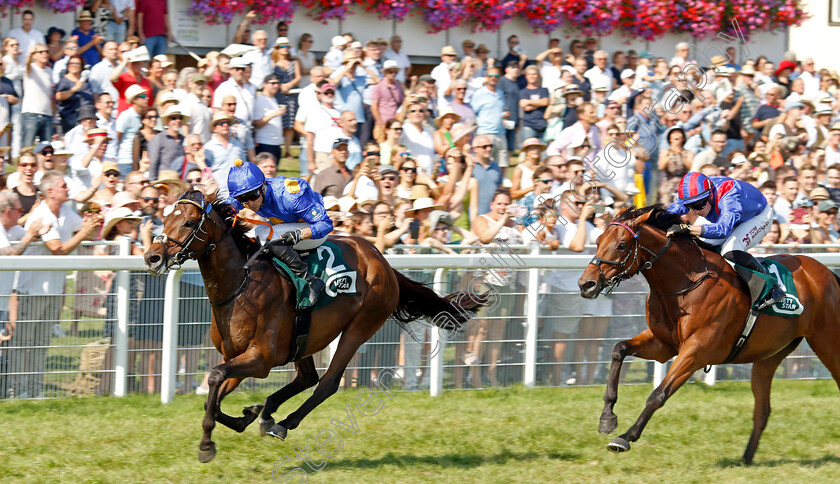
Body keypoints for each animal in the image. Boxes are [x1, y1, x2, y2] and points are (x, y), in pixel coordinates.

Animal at [144, 189, 486, 462]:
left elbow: (214, 378)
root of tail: (382, 260)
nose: (152, 257)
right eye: (166, 218)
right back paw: (267, 414)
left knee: (327, 383)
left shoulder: (260, 359)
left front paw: (207, 446)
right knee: (307, 377)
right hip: (305, 338)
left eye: (189, 223)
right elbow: (211, 398)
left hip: (360, 326)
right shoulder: (237, 357)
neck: (241, 285)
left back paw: (283, 423)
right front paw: (248, 415)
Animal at [576, 204, 840, 466]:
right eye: (598, 240)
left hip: (827, 342)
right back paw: (745, 458)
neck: (686, 282)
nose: (586, 284)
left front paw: (625, 437)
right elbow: (618, 349)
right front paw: (607, 417)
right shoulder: (662, 345)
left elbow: (658, 394)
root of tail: (828, 273)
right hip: (769, 355)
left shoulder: (697, 351)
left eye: (622, 245)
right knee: (762, 409)